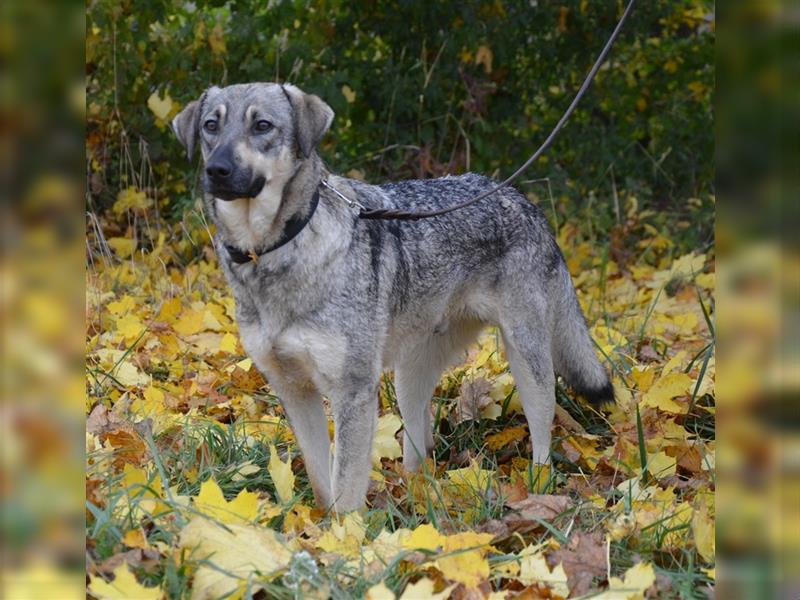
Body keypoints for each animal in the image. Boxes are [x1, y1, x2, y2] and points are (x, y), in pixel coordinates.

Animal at [173, 82, 612, 512]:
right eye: (211, 126)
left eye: (262, 125)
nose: (217, 170)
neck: (275, 251)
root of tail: (523, 200)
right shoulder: (295, 393)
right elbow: (321, 481)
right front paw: (318, 528)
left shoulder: (352, 393)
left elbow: (345, 489)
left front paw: (344, 533)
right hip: (408, 379)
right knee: (418, 450)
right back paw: (413, 493)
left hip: (526, 362)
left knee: (542, 433)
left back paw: (539, 490)